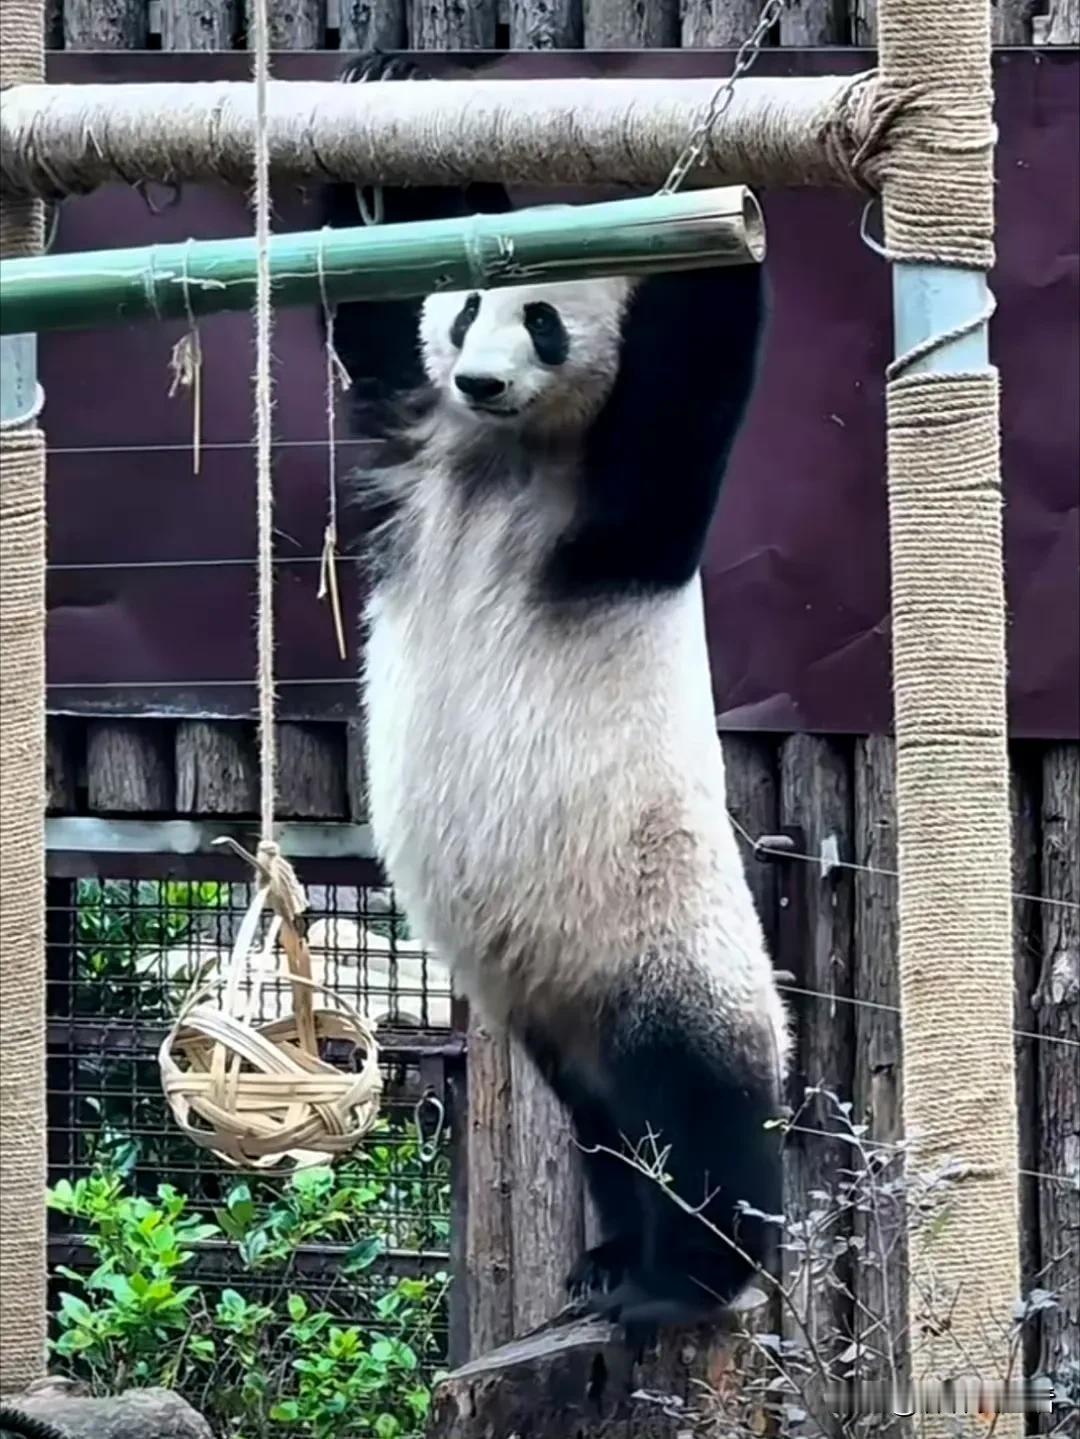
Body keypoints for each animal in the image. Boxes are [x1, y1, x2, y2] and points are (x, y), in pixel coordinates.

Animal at [333, 56, 788, 1335]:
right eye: (470, 310)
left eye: (540, 320)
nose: (481, 378)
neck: (503, 456)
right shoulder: (412, 433)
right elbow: (369, 309)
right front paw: (388, 87)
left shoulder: (609, 516)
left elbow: (687, 402)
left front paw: (725, 203)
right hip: (551, 1017)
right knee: (606, 1132)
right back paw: (606, 1260)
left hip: (667, 944)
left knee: (701, 1112)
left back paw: (687, 1281)